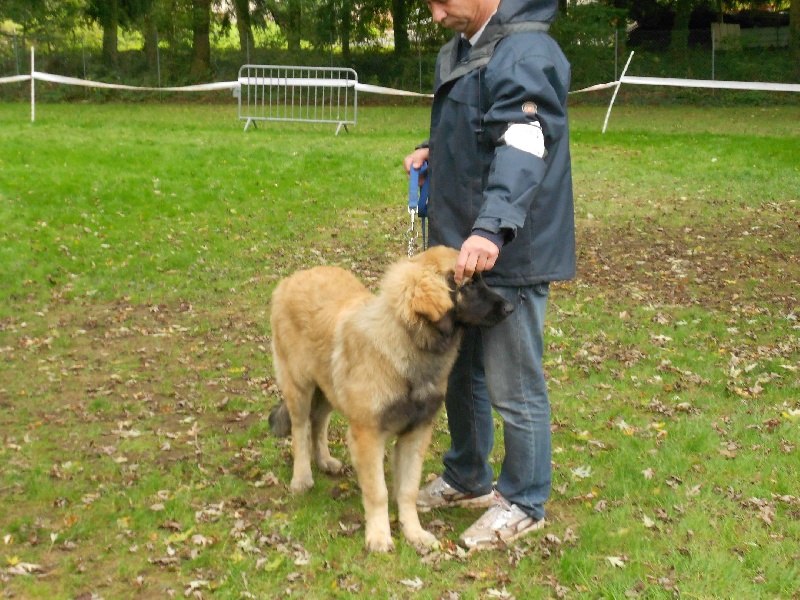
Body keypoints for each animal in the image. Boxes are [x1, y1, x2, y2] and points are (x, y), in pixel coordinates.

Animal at [268, 246, 512, 552]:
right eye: (468, 285)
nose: (510, 308)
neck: (409, 340)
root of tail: (293, 278)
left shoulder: (416, 433)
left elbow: (407, 490)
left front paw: (414, 532)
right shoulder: (368, 434)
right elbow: (378, 492)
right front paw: (379, 536)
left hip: (327, 387)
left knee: (318, 422)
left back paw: (324, 461)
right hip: (300, 385)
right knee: (300, 429)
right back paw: (302, 477)